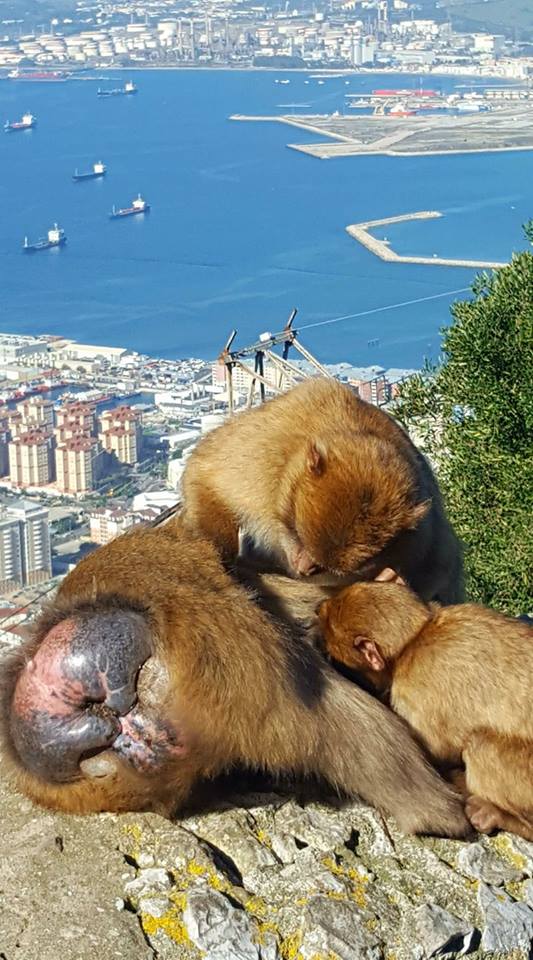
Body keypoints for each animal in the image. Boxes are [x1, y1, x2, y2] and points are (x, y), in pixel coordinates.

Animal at [180, 378, 463, 604]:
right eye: (297, 534)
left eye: (325, 566)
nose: (303, 567)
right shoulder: (262, 453)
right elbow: (205, 474)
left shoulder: (421, 536)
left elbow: (439, 570)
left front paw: (391, 580)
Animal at [318, 580, 533, 840]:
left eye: (330, 632)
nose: (319, 607)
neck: (416, 637)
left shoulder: (411, 690)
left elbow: (435, 748)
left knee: (481, 744)